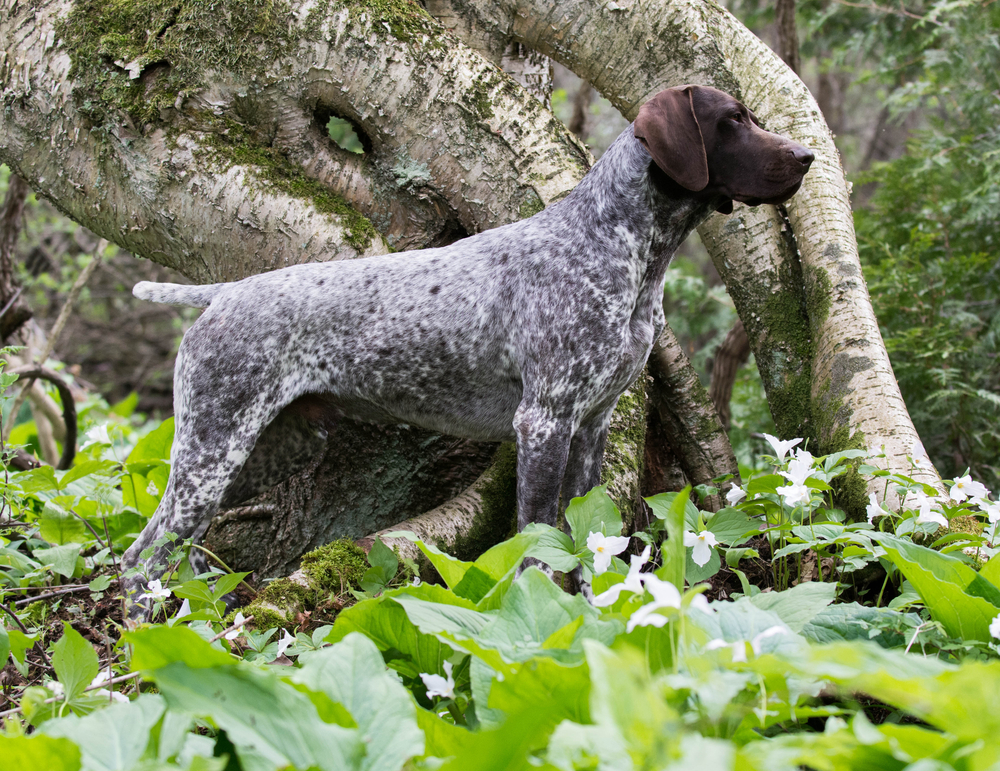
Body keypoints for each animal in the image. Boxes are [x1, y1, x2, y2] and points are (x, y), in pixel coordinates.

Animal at [123, 83, 812, 604]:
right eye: (732, 120)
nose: (806, 155)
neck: (621, 246)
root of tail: (224, 293)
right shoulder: (544, 421)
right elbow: (536, 540)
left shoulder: (591, 424)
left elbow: (586, 541)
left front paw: (590, 617)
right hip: (214, 451)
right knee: (143, 559)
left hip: (264, 451)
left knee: (158, 546)